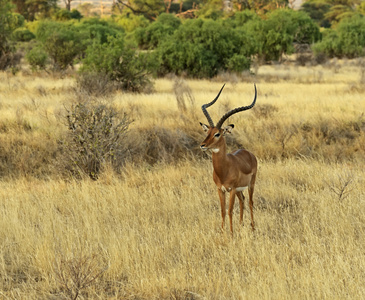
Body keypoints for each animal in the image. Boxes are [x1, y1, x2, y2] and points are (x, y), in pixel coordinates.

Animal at [199, 84, 256, 234]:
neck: (223, 170)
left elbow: (230, 211)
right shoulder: (220, 190)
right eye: (207, 132)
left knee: (250, 202)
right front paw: (223, 231)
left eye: (217, 134)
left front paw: (231, 234)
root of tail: (248, 153)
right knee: (242, 201)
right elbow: (223, 211)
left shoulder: (231, 190)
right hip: (239, 190)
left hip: (250, 185)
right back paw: (241, 225)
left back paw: (253, 227)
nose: (202, 145)